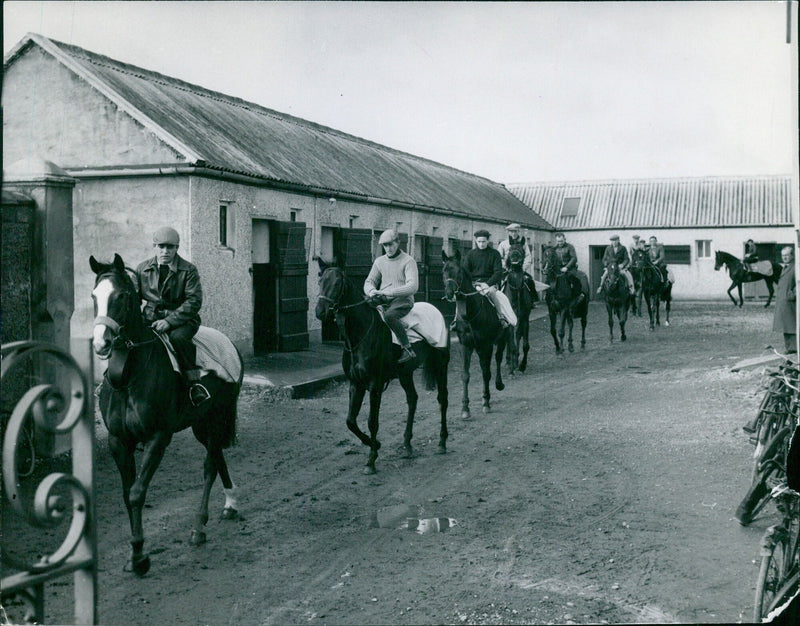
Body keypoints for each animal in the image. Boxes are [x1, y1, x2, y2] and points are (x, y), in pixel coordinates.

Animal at [90, 254, 241, 576]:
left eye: (122, 296)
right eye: (94, 296)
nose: (101, 343)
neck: (130, 377)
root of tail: (230, 344)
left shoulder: (158, 438)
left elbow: (137, 492)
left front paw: (139, 556)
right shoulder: (118, 441)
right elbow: (127, 495)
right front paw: (134, 553)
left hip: (217, 419)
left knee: (210, 466)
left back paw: (199, 528)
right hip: (202, 424)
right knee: (218, 458)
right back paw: (231, 504)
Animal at [314, 256, 450, 470]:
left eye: (336, 284)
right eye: (320, 281)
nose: (320, 311)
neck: (361, 335)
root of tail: (436, 311)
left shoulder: (374, 384)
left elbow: (372, 421)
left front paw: (371, 460)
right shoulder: (356, 383)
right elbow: (350, 421)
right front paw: (375, 444)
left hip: (441, 365)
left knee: (442, 399)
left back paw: (442, 442)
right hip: (405, 373)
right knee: (412, 399)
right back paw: (407, 444)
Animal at [440, 246, 510, 416]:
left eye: (458, 271)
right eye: (444, 271)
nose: (449, 293)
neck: (470, 315)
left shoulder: (486, 345)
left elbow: (486, 372)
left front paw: (486, 402)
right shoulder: (466, 345)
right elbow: (465, 375)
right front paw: (465, 408)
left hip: (501, 339)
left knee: (498, 359)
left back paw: (499, 384)